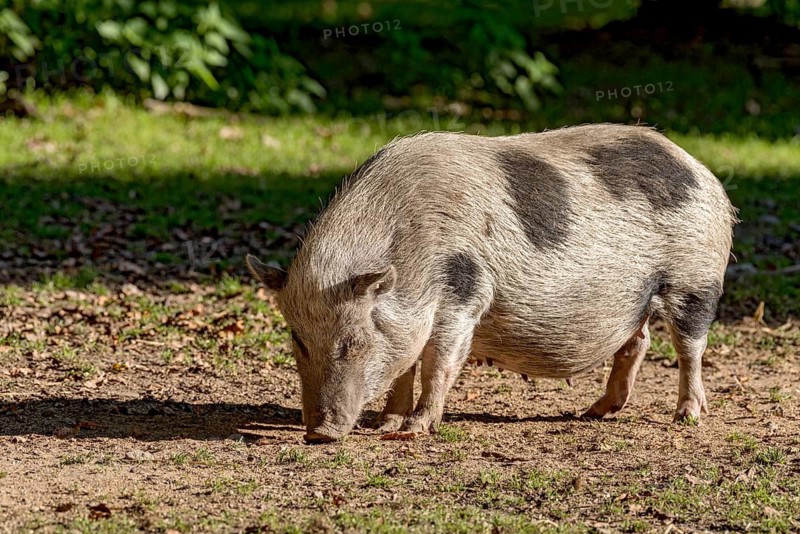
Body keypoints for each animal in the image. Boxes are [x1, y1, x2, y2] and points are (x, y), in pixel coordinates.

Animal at [246, 123, 736, 443]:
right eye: (298, 340)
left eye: (352, 341)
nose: (319, 433)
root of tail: (700, 169)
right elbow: (404, 367)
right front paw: (385, 424)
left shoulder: (465, 293)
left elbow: (437, 363)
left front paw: (411, 432)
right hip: (637, 296)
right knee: (638, 342)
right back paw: (592, 413)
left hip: (697, 276)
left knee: (691, 347)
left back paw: (687, 418)